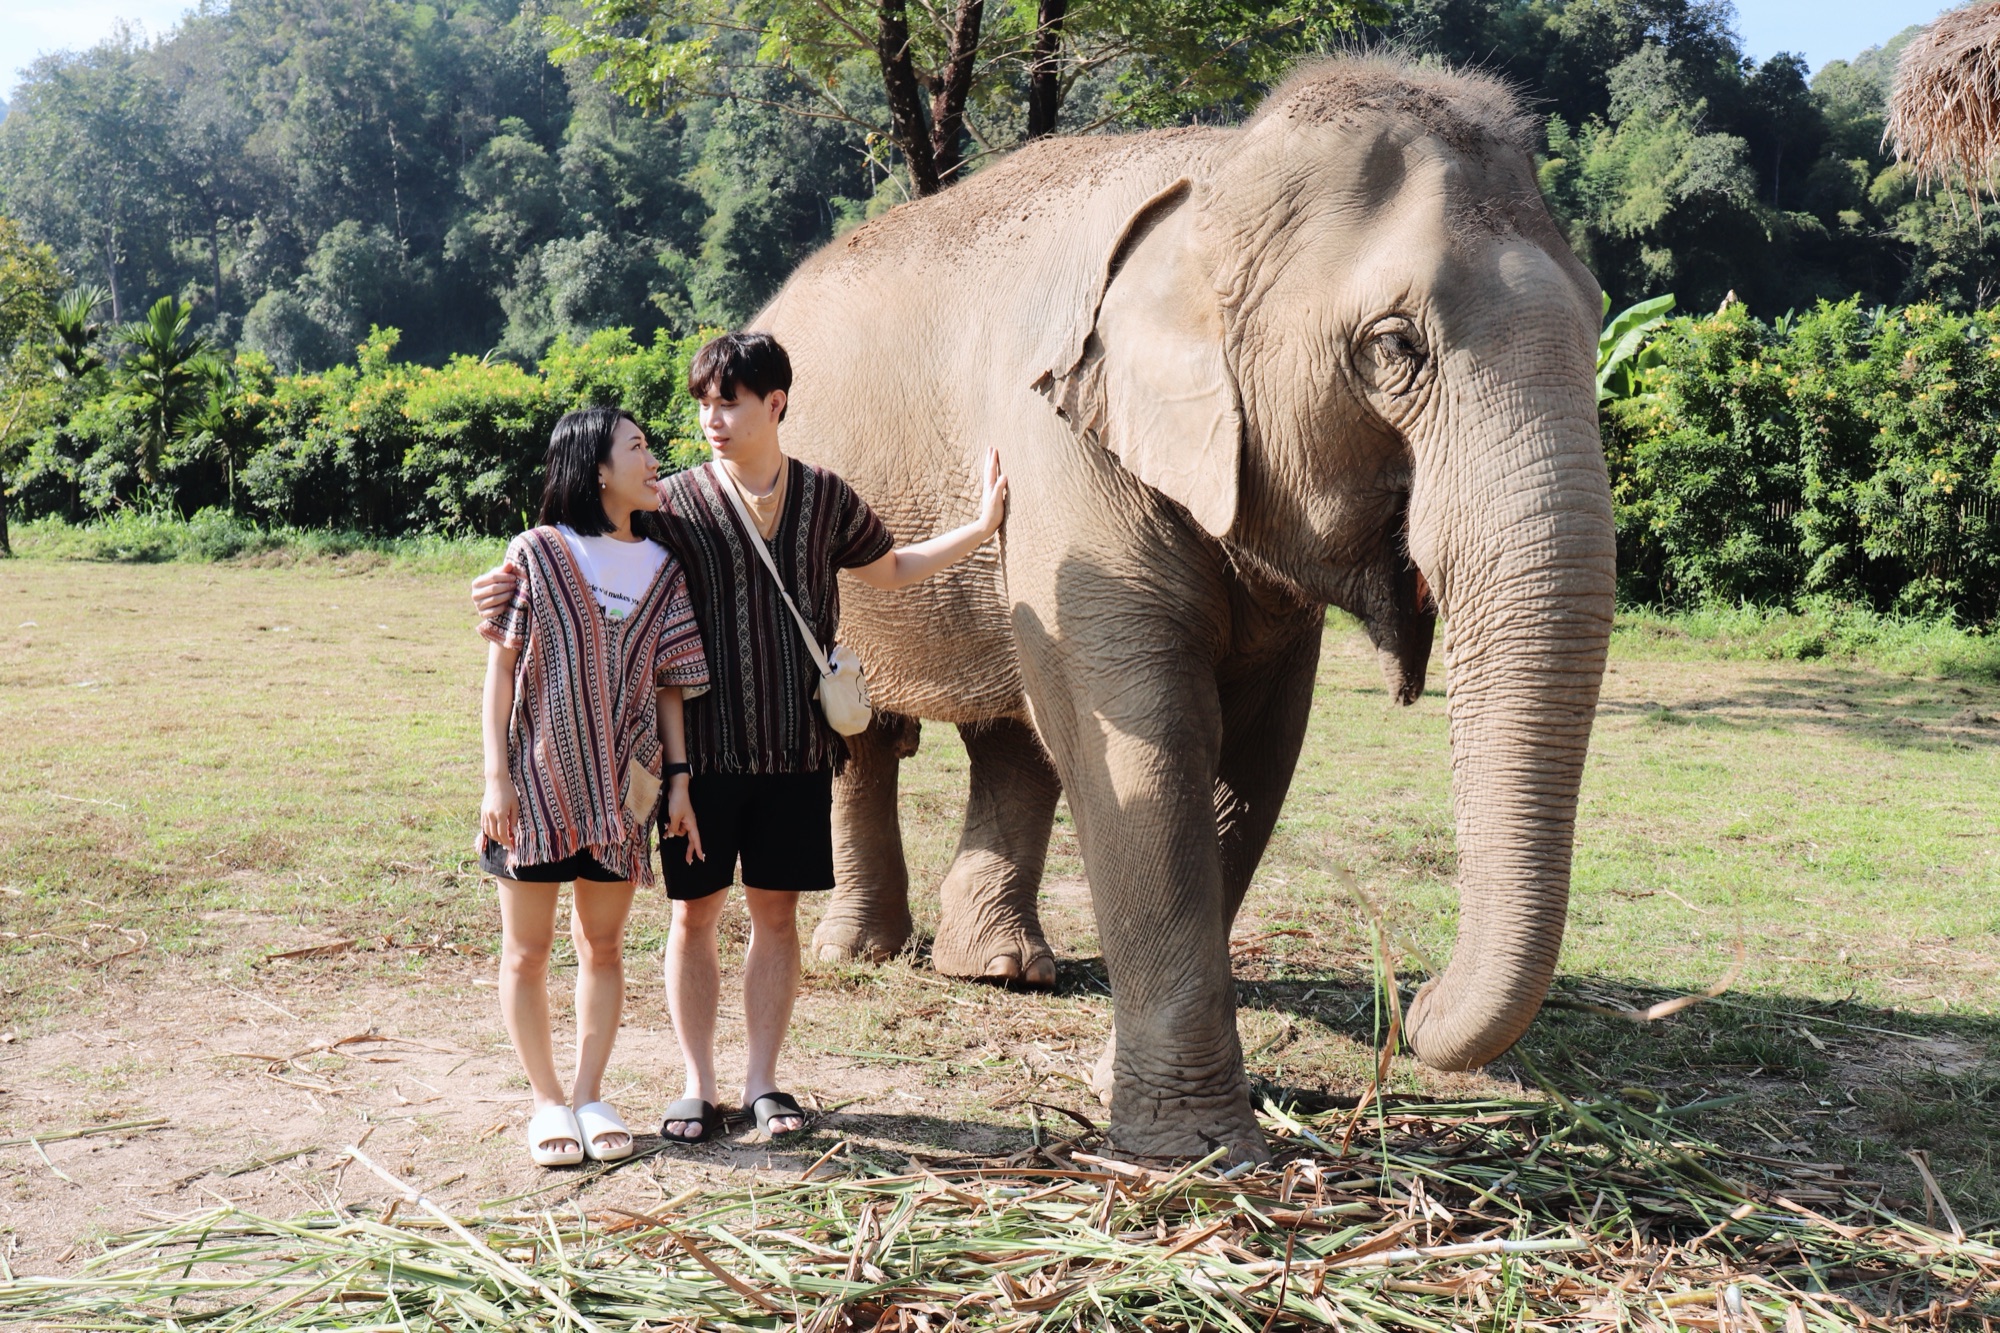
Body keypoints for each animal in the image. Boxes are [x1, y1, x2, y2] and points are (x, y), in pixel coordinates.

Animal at [760, 54, 1615, 1159]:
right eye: (1394, 347)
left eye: (1601, 326)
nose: (1414, 1002)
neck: (1218, 172)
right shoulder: (1062, 443)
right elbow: (1153, 735)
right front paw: (1194, 1147)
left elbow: (1251, 752)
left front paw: (1117, 1081)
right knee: (868, 735)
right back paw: (857, 956)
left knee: (1017, 732)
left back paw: (1001, 969)